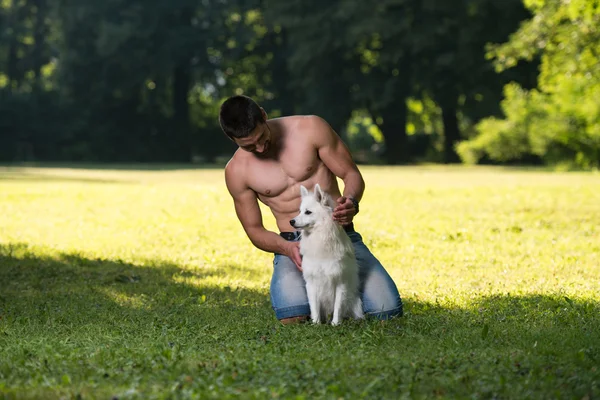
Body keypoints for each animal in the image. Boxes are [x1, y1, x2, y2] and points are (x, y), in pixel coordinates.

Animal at [290, 184, 364, 324]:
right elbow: (314, 307)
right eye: (300, 211)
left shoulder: (341, 282)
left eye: (308, 212)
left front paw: (335, 324)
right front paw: (316, 324)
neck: (320, 236)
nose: (291, 221)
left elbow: (338, 307)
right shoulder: (312, 283)